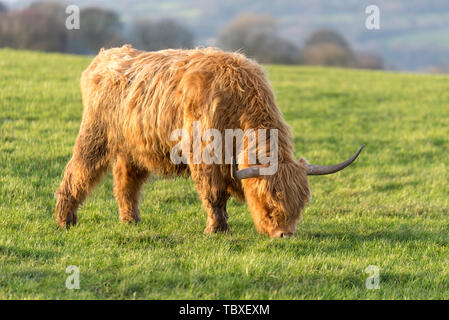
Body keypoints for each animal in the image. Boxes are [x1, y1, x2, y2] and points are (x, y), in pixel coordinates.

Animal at [55, 43, 364, 236]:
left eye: (300, 203)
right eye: (269, 199)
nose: (284, 234)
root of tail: (105, 57)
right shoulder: (204, 157)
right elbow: (214, 195)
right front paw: (218, 229)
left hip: (133, 148)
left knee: (125, 183)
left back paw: (131, 220)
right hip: (95, 137)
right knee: (77, 172)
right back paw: (64, 219)